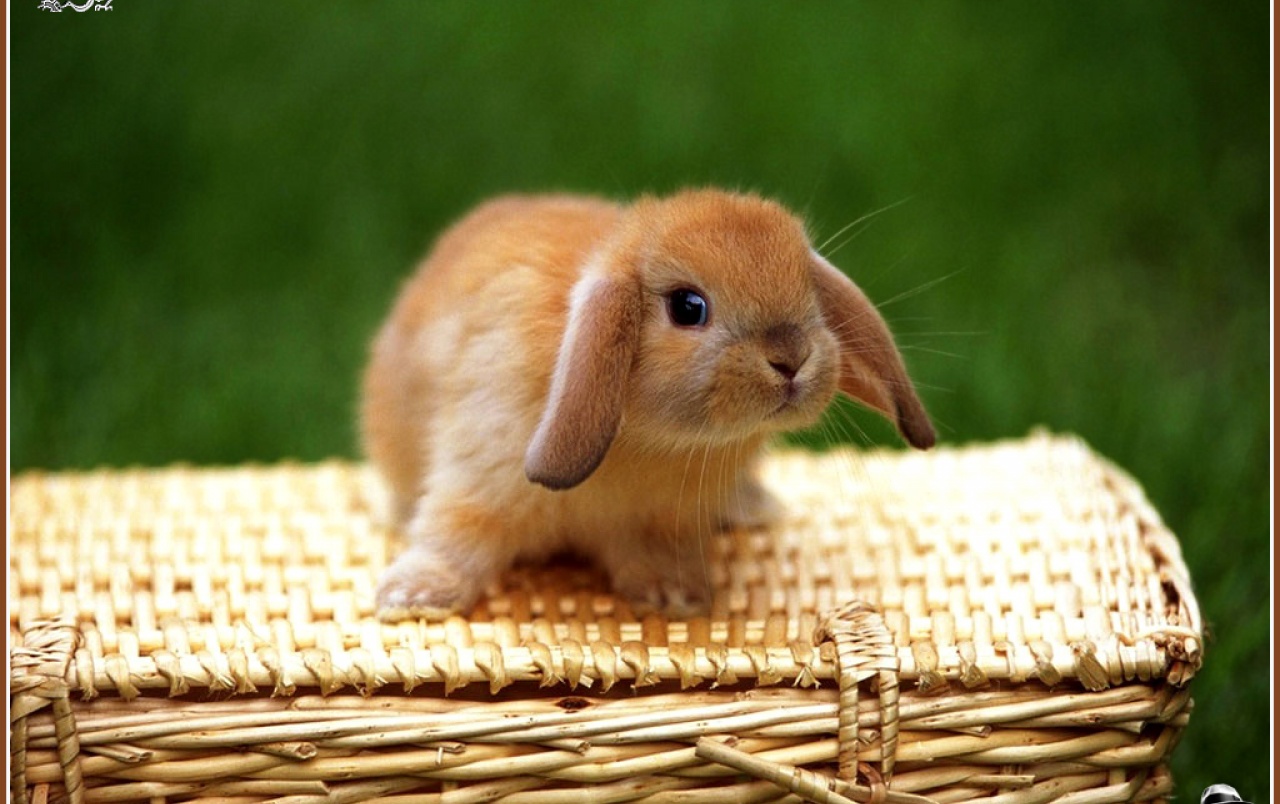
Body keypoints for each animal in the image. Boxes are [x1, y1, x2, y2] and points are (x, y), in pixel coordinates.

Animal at [362, 189, 935, 619]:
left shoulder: (662, 520)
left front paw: (674, 598)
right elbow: (454, 535)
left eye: (809, 293)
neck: (649, 439)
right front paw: (412, 597)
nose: (791, 358)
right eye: (688, 307)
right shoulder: (479, 477)